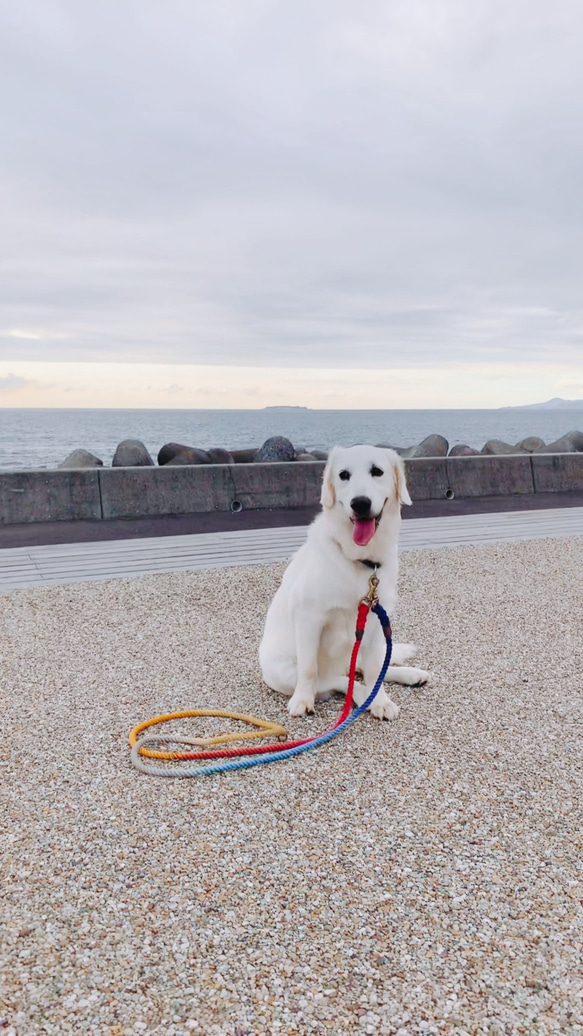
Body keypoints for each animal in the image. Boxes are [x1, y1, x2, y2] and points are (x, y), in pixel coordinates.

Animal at [258, 443, 428, 721]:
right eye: (343, 475)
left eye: (377, 471)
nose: (360, 503)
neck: (360, 559)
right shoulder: (309, 618)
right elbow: (309, 669)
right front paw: (302, 700)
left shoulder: (375, 621)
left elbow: (375, 670)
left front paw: (381, 700)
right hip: (281, 669)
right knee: (335, 680)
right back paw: (361, 696)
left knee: (364, 670)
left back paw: (409, 676)